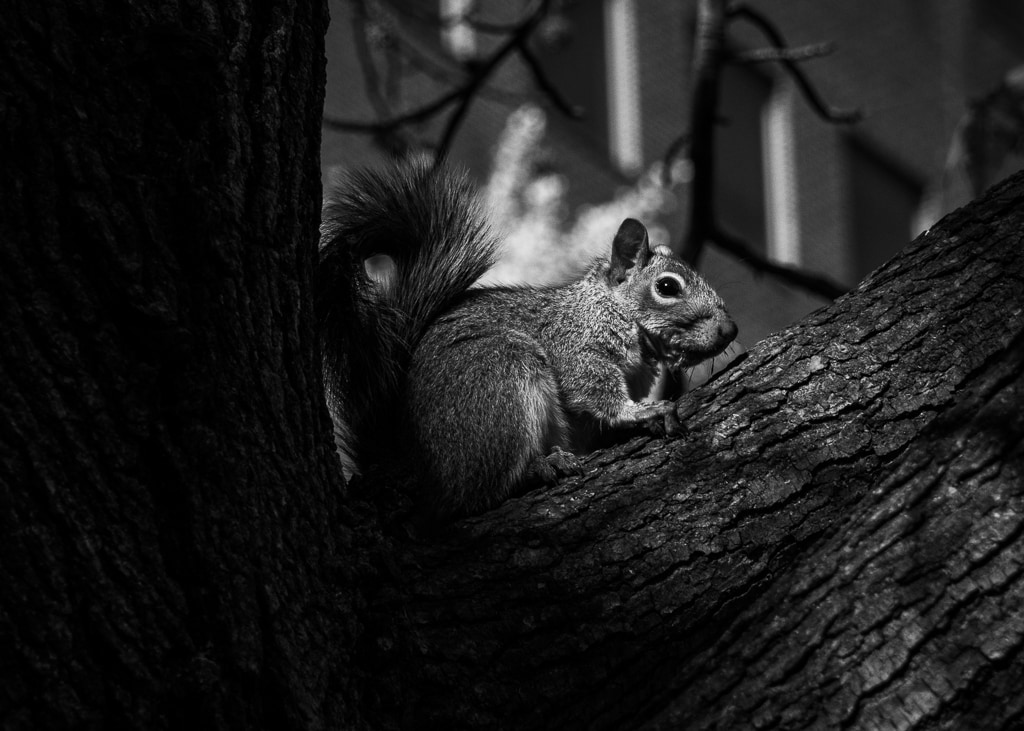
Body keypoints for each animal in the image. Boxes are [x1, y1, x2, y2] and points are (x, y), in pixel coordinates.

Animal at [316, 161, 738, 518]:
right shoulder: (575, 343)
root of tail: (413, 467)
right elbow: (592, 390)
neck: (608, 308)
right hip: (500, 381)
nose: (729, 330)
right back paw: (542, 466)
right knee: (479, 491)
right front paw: (641, 412)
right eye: (667, 287)